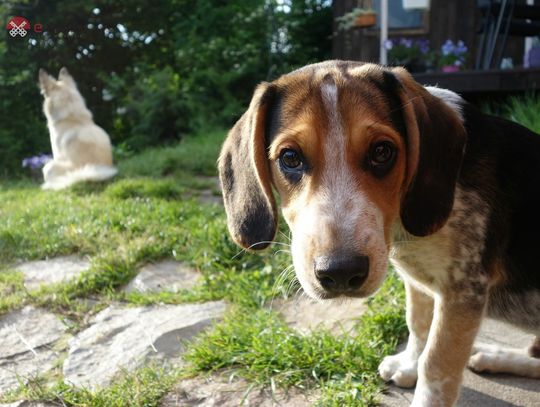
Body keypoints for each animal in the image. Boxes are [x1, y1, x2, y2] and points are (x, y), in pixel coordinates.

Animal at [217, 60, 536, 407]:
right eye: (290, 158)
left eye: (382, 152)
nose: (341, 273)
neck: (403, 228)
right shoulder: (420, 281)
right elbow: (417, 324)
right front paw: (408, 364)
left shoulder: (463, 290)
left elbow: (436, 364)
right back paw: (494, 355)